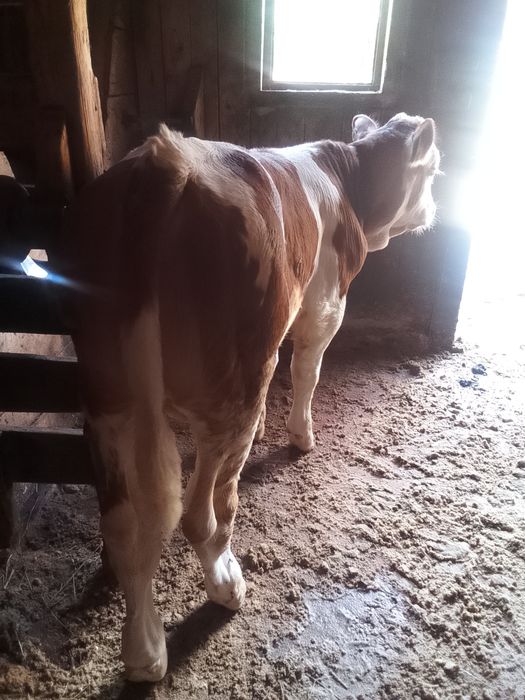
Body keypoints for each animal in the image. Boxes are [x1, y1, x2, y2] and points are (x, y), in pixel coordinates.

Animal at [63, 112, 440, 681]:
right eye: (434, 171)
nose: (436, 211)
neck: (345, 178)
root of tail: (165, 159)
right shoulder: (325, 304)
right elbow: (306, 370)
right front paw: (301, 436)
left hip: (107, 400)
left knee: (123, 526)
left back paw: (144, 651)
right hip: (230, 392)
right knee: (205, 511)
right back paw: (226, 585)